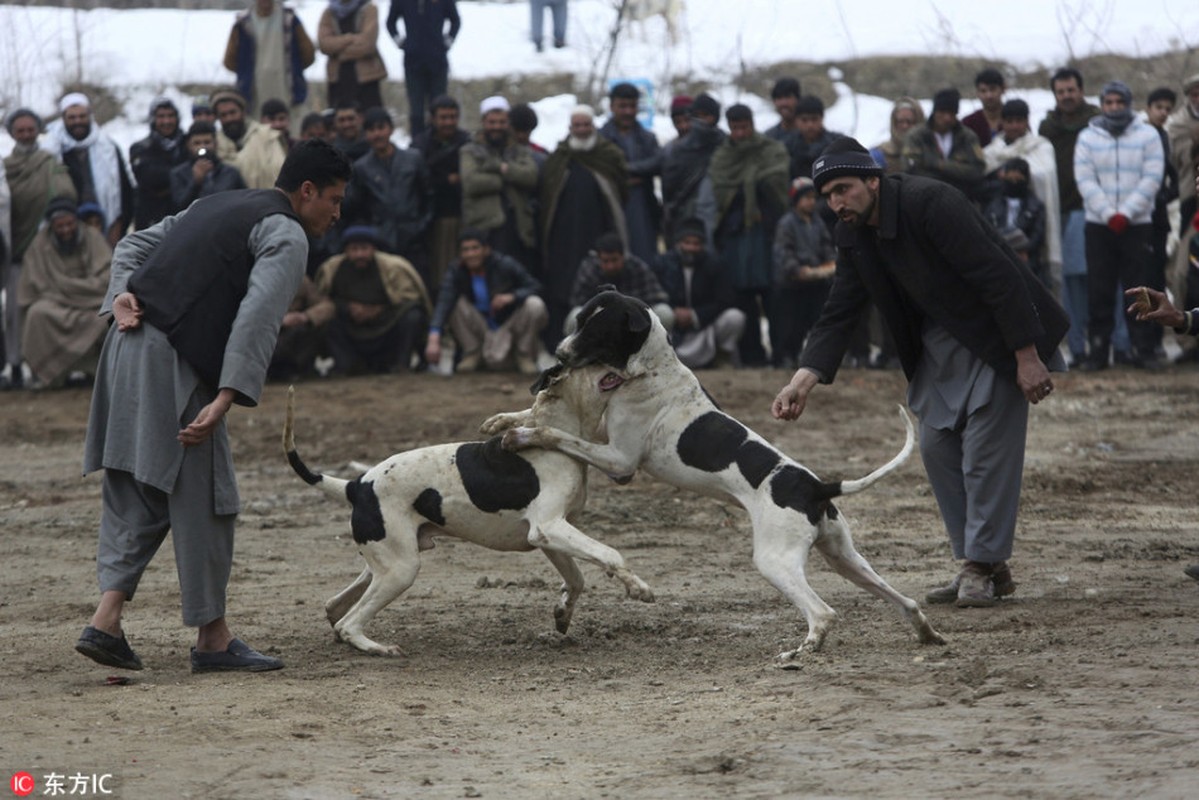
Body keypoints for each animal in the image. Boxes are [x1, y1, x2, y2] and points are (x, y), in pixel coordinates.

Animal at [281, 367, 652, 662]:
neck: (550, 441)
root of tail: (356, 485)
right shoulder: (548, 527)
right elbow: (611, 554)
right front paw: (638, 588)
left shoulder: (551, 535)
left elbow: (576, 579)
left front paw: (562, 614)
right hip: (402, 569)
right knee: (349, 623)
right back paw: (377, 647)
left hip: (386, 562)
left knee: (336, 605)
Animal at [498, 291, 944, 662]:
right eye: (579, 321)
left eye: (596, 330)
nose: (558, 353)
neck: (650, 369)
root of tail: (815, 485)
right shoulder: (605, 439)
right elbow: (536, 417)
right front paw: (501, 420)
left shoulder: (619, 462)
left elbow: (554, 432)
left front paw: (520, 436)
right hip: (844, 559)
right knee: (905, 601)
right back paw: (927, 635)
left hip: (775, 561)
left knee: (823, 613)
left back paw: (802, 651)